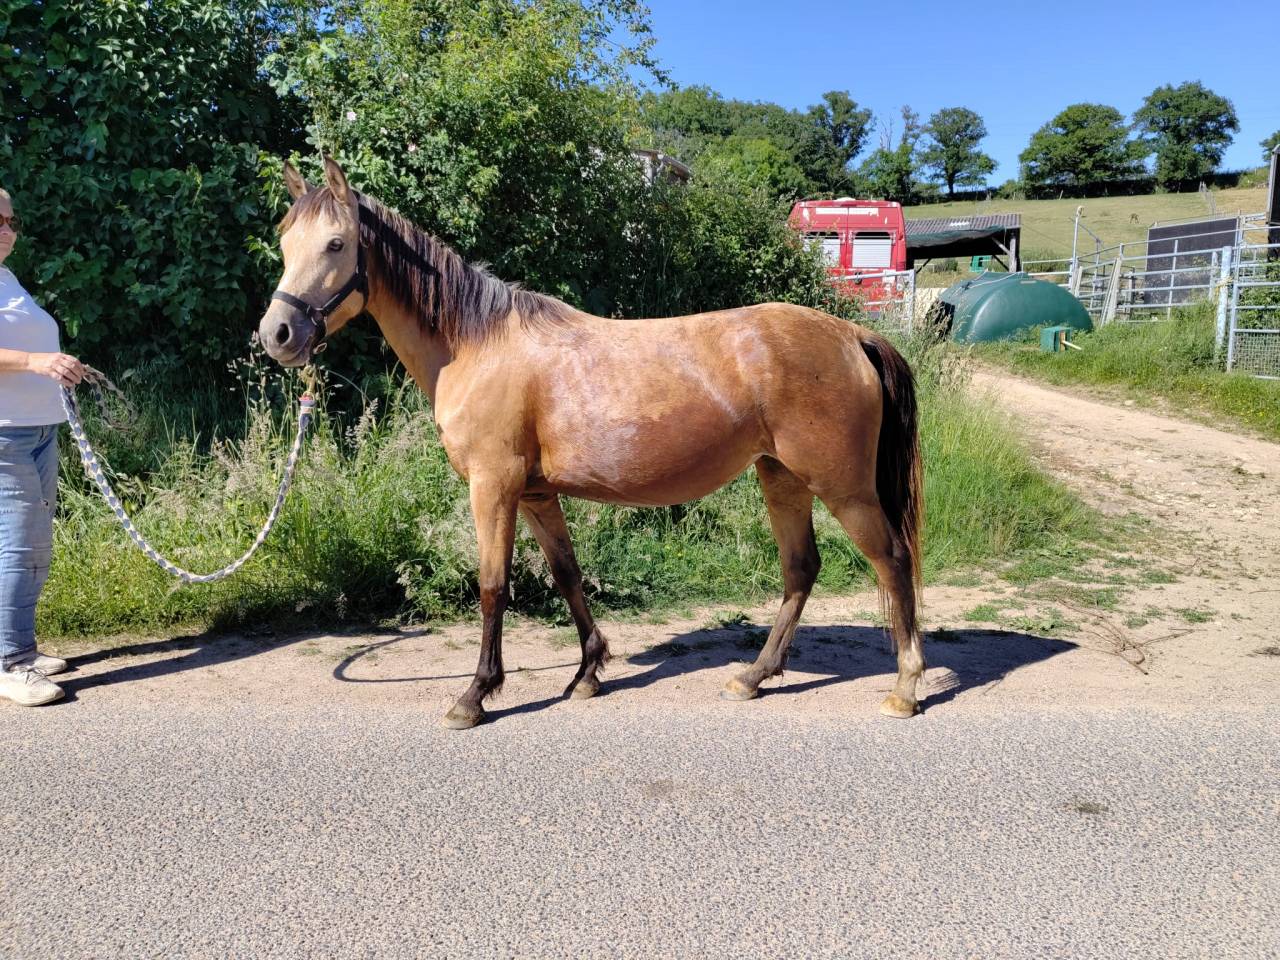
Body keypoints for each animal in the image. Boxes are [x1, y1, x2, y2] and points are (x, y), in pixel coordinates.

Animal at [258, 157, 925, 729]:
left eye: (336, 244)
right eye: (286, 243)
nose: (278, 334)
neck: (477, 344)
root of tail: (852, 335)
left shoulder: (494, 487)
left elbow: (492, 586)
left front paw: (475, 695)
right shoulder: (534, 494)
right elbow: (567, 575)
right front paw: (587, 673)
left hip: (843, 487)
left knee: (891, 560)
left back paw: (904, 687)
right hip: (780, 476)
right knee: (800, 569)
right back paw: (753, 676)